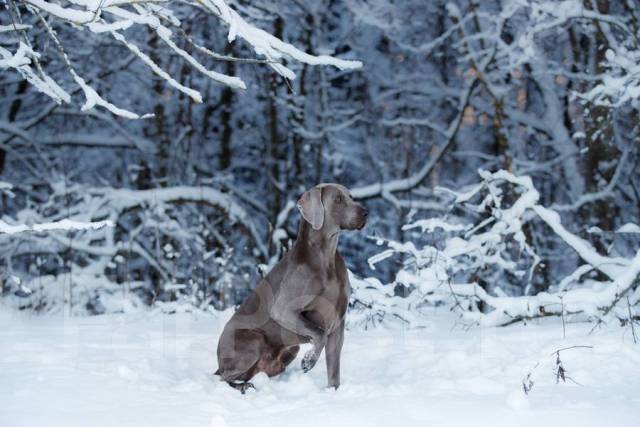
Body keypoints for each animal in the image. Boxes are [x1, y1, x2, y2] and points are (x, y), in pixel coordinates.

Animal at [215, 184, 368, 394]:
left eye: (351, 197)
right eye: (337, 199)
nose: (366, 212)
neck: (325, 259)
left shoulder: (338, 322)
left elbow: (334, 367)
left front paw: (333, 392)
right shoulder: (284, 309)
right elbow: (319, 332)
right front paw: (309, 361)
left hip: (289, 350)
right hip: (252, 339)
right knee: (224, 378)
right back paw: (244, 386)